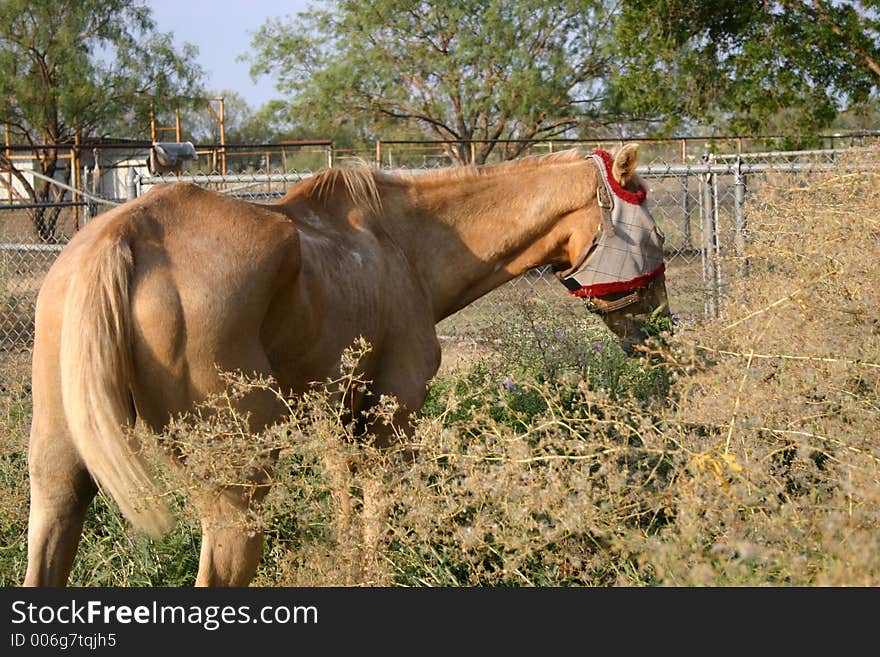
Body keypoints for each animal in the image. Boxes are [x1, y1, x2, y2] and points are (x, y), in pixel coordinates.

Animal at [24, 142, 672, 584]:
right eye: (657, 234)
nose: (662, 335)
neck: (402, 245)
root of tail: (123, 234)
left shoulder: (338, 419)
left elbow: (346, 514)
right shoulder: (392, 420)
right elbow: (378, 521)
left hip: (59, 477)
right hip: (240, 489)